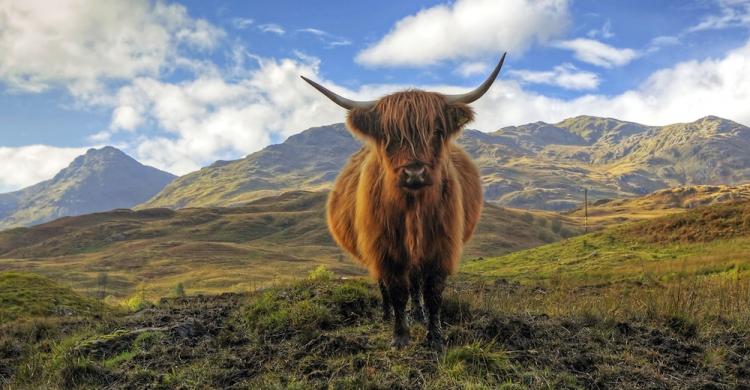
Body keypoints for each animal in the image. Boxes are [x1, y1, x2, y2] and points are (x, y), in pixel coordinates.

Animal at [302, 52, 508, 350]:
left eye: (436, 131)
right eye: (388, 135)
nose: (415, 172)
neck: (414, 209)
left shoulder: (441, 246)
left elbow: (433, 292)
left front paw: (435, 337)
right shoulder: (384, 248)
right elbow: (397, 290)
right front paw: (400, 336)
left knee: (416, 282)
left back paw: (418, 315)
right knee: (386, 286)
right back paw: (388, 315)